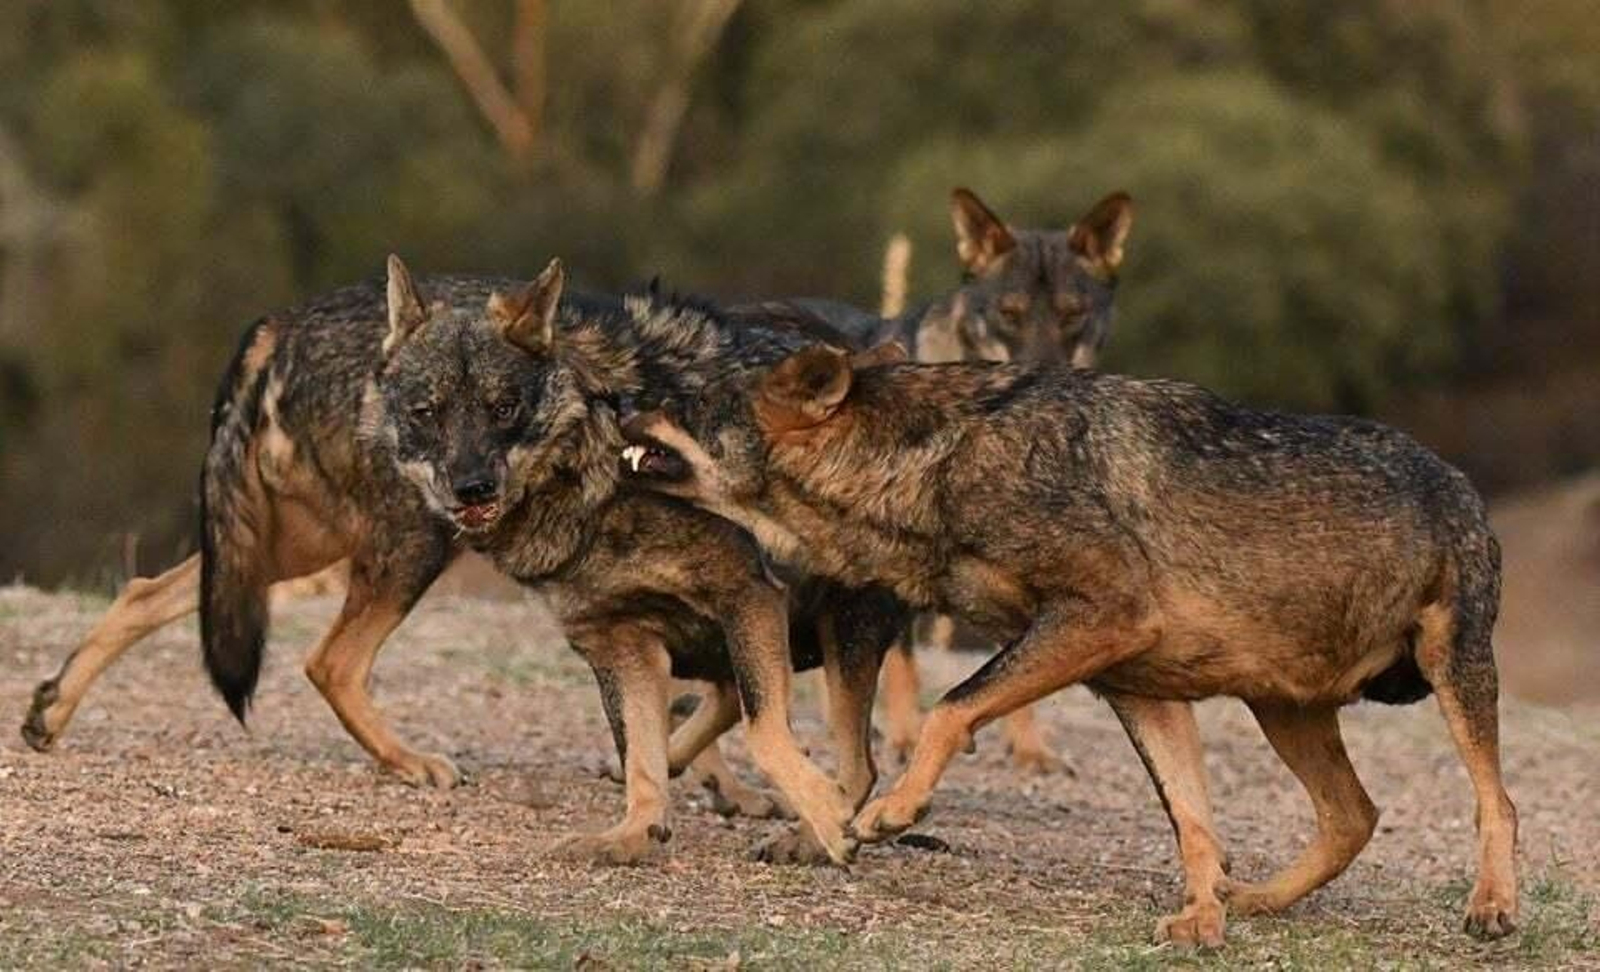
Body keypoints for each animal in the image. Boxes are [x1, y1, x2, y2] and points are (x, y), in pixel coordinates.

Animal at [620, 344, 1519, 946]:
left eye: (684, 405)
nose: (621, 409)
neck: (936, 460)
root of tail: (1464, 484)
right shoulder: (1139, 687)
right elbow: (1194, 823)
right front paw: (1203, 917)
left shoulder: (1101, 620)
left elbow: (949, 710)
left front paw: (894, 813)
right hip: (1282, 709)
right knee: (1353, 816)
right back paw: (1255, 899)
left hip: (1450, 676)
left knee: (1494, 801)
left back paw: (1493, 907)